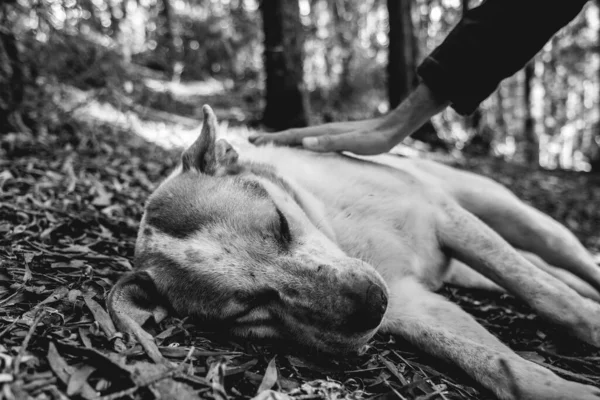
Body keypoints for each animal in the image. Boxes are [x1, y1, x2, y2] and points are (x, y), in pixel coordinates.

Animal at [108, 106, 600, 400]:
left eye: (280, 225)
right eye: (250, 309)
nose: (371, 306)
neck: (342, 230)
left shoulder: (445, 218)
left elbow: (548, 296)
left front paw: (591, 323)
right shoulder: (412, 304)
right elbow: (494, 362)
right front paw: (561, 388)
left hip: (516, 217)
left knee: (560, 263)